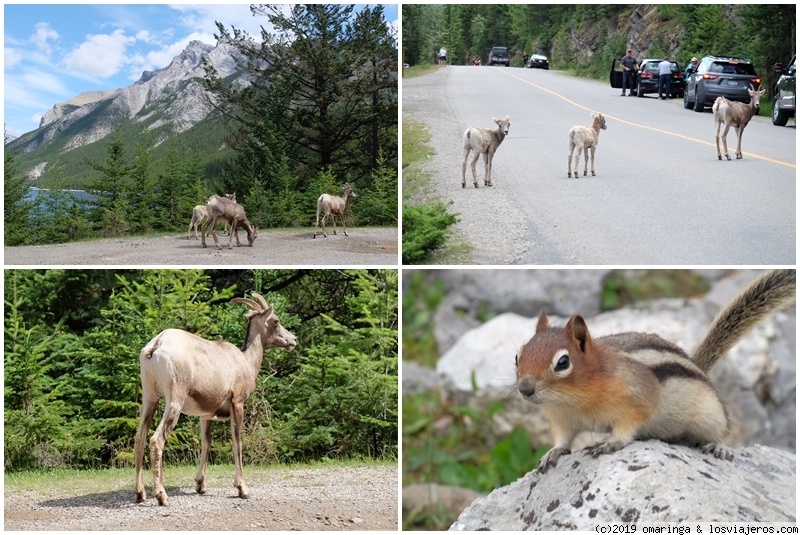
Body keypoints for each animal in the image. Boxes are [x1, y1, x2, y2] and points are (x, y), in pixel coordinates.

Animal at [134, 294, 296, 506]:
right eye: (275, 320)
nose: (293, 340)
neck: (245, 362)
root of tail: (156, 345)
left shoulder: (205, 415)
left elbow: (206, 442)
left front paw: (200, 485)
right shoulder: (237, 404)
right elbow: (237, 442)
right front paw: (242, 489)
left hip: (150, 398)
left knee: (140, 438)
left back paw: (140, 494)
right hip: (174, 401)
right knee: (156, 440)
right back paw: (161, 496)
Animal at [516, 270, 796, 476]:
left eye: (563, 362)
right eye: (518, 356)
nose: (524, 389)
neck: (572, 400)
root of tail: (697, 367)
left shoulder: (636, 401)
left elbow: (628, 427)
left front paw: (609, 443)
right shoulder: (563, 420)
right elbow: (563, 440)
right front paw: (552, 453)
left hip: (710, 415)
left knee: (723, 431)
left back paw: (718, 447)